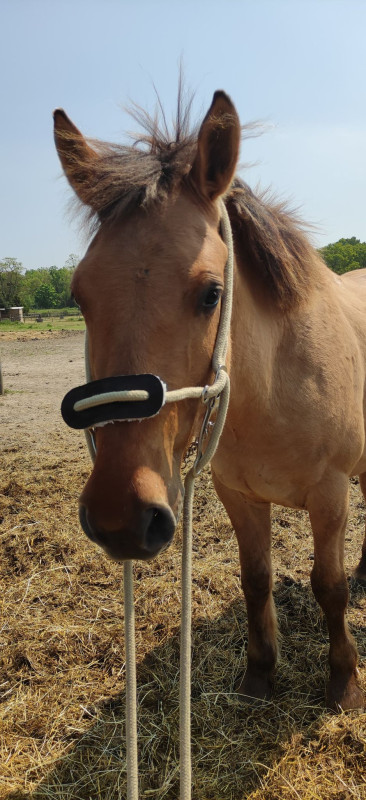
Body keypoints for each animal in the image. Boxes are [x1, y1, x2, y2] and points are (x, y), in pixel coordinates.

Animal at [53, 90, 364, 708]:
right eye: (79, 295)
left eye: (211, 294)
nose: (122, 516)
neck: (275, 391)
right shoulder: (237, 494)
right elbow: (256, 579)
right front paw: (261, 673)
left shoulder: (331, 494)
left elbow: (329, 586)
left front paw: (344, 681)